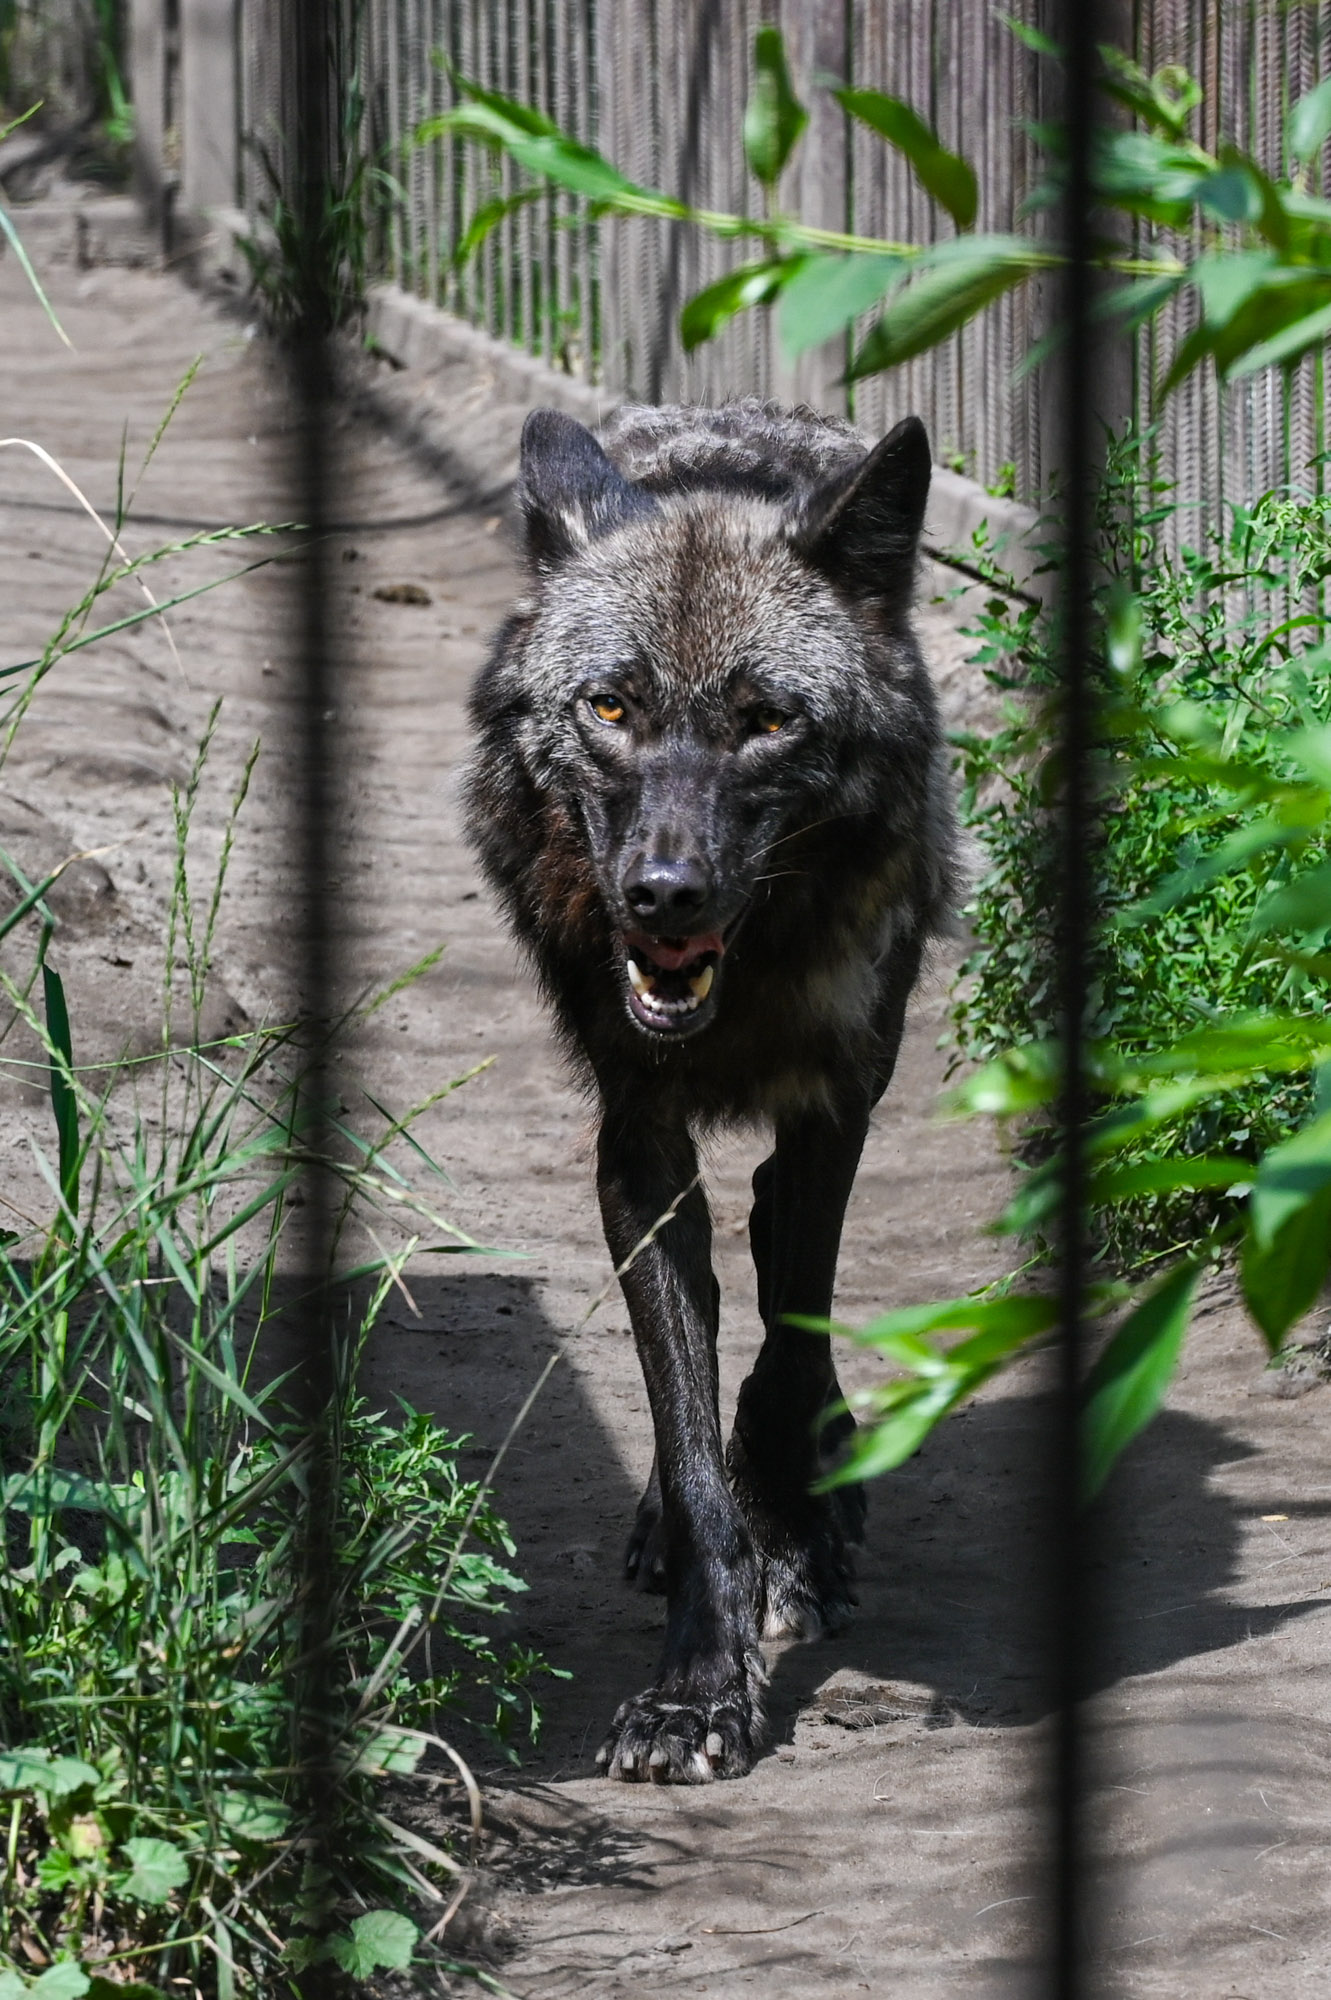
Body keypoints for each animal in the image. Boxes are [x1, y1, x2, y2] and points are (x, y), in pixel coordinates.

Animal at [464, 397, 958, 1783]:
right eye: (611, 706)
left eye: (766, 720)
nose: (662, 895)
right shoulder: (634, 1146)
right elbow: (685, 1442)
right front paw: (696, 1684)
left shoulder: (834, 1107)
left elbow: (784, 1354)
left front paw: (793, 1545)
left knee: (779, 1255)